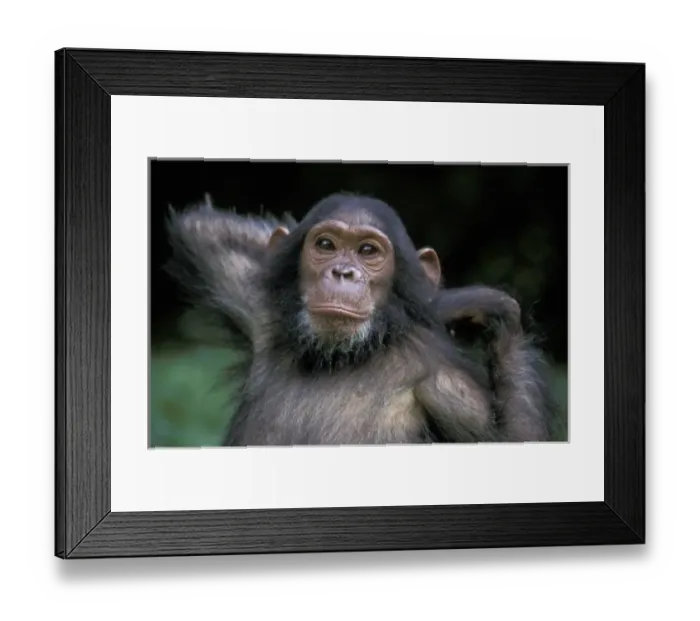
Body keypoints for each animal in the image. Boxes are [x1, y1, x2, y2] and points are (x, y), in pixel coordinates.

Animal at [165, 192, 553, 446]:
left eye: (368, 251)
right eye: (325, 245)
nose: (343, 272)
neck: (341, 358)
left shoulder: (450, 387)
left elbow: (514, 438)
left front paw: (475, 304)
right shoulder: (253, 299)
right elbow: (204, 229)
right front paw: (453, 302)